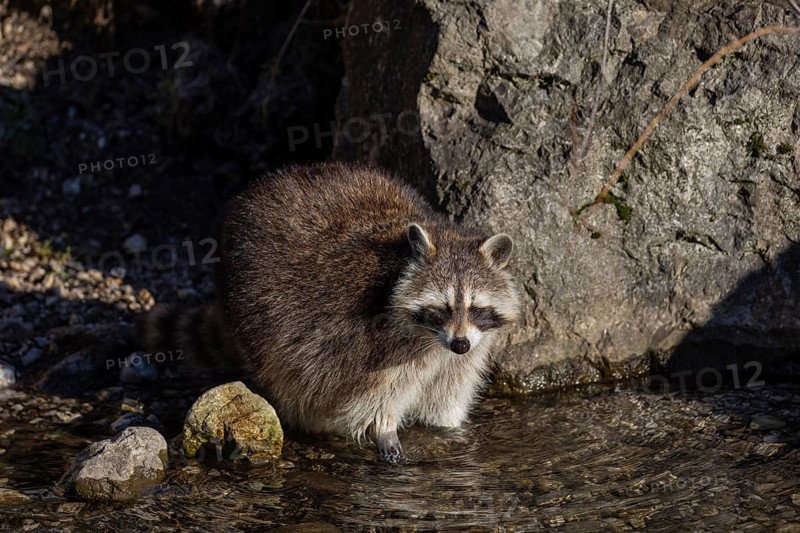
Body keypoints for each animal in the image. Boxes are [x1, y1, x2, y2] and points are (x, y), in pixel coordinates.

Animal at [141, 162, 520, 463]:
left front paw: (451, 430)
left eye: (475, 307)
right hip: (255, 311)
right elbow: (374, 392)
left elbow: (448, 392)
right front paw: (384, 426)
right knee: (288, 374)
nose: (460, 344)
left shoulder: (468, 350)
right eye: (441, 309)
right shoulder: (374, 342)